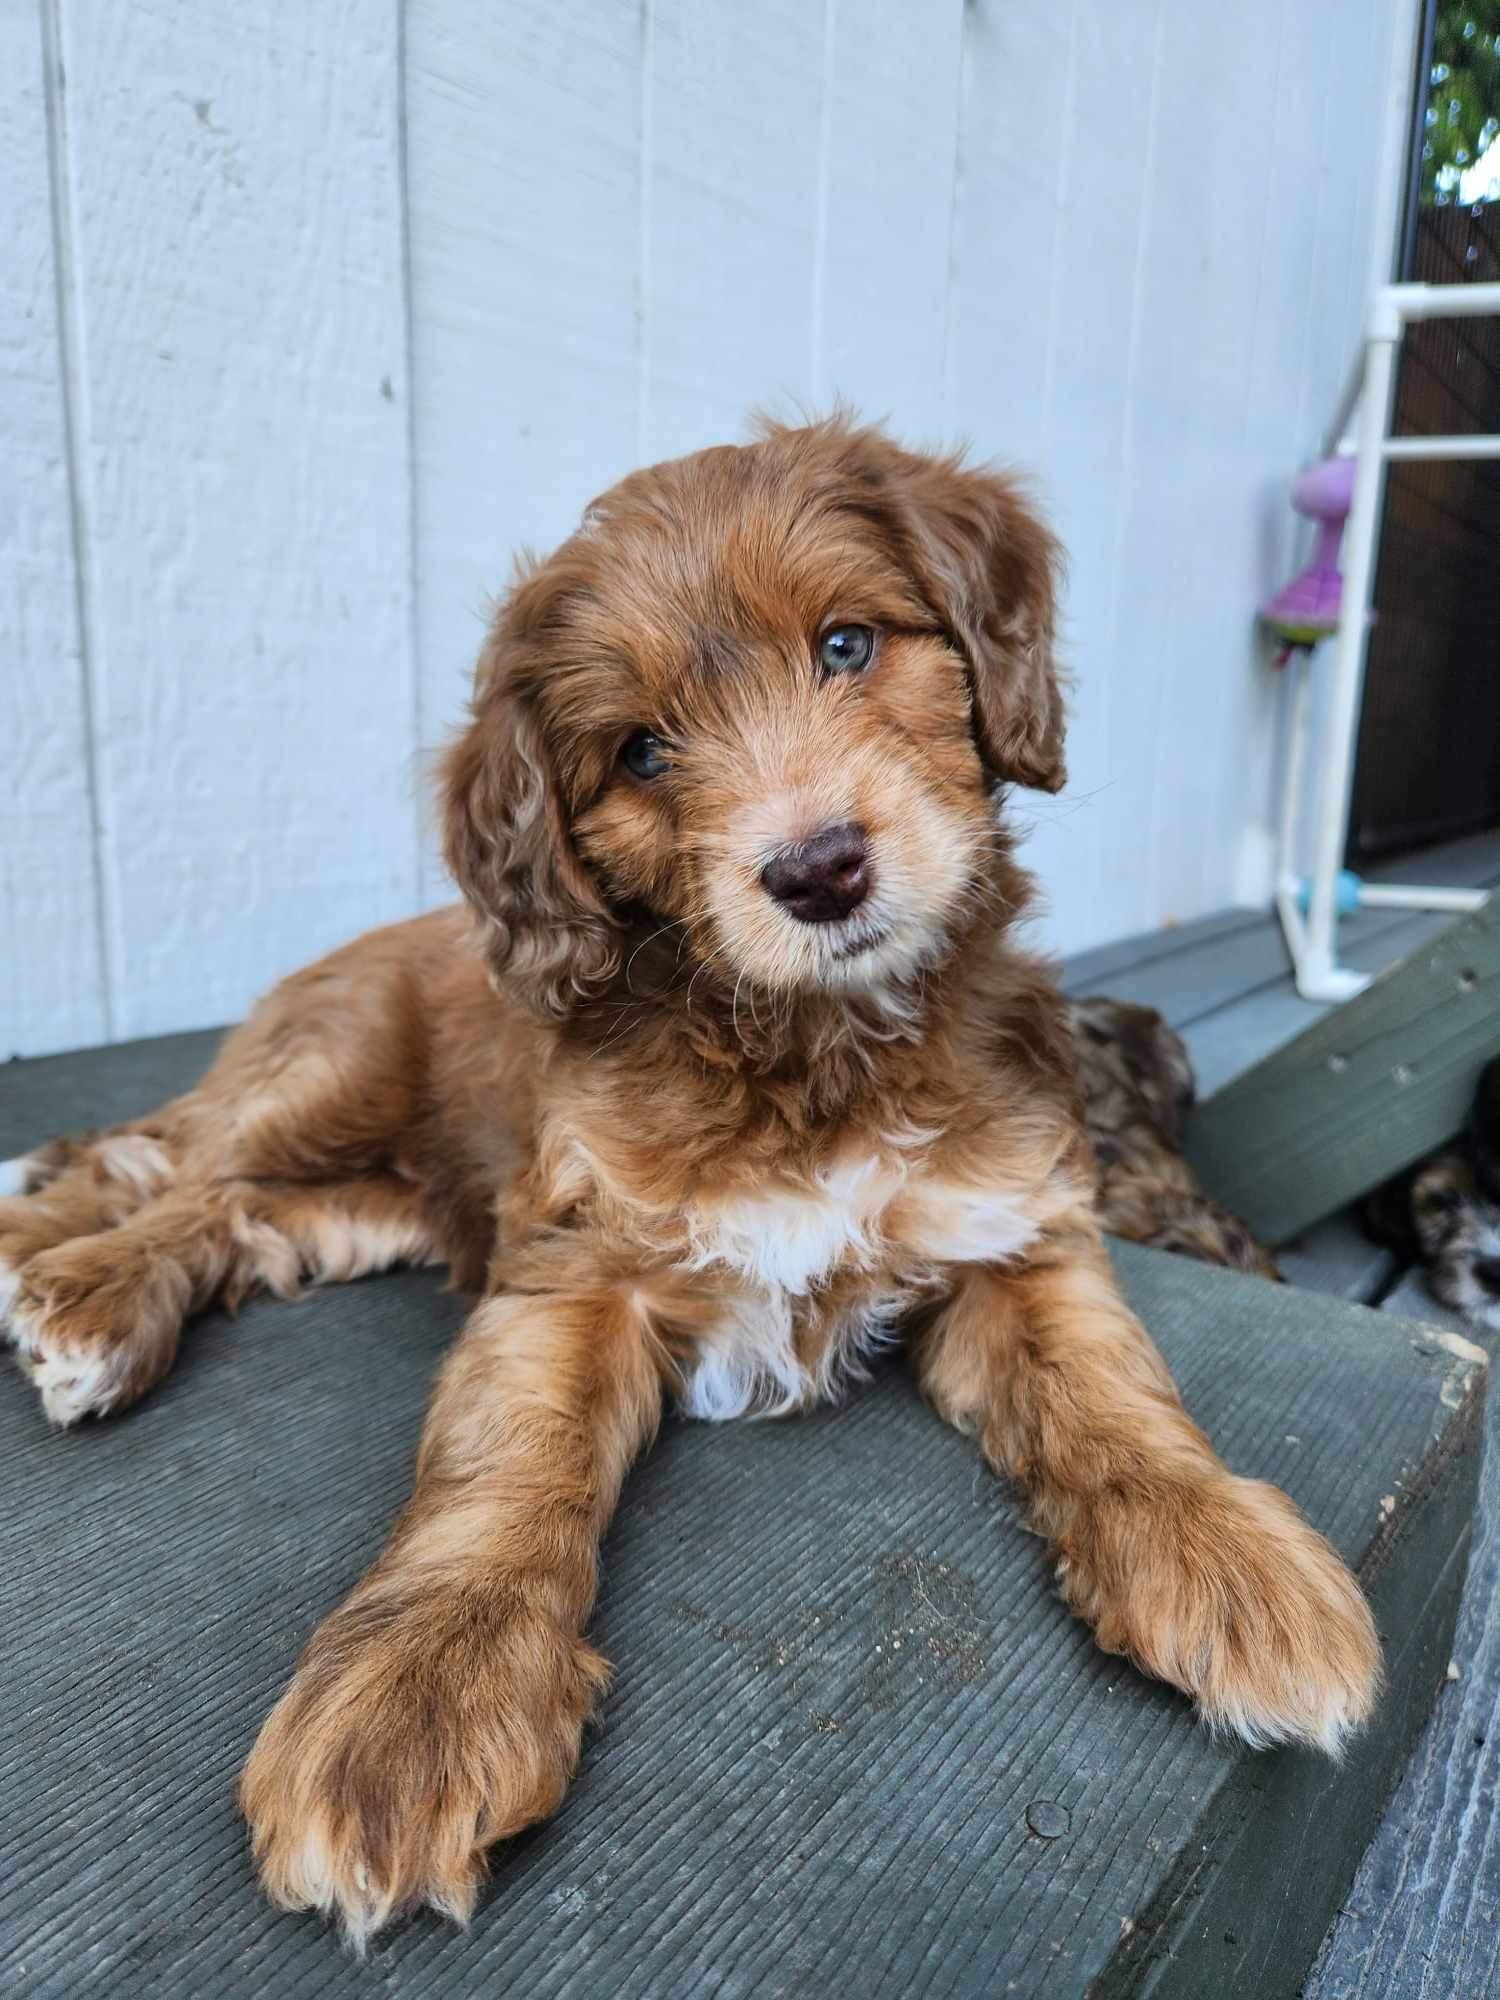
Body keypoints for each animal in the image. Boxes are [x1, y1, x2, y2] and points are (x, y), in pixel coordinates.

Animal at [0, 418, 1384, 1936]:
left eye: (847, 644)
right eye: (644, 750)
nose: (821, 869)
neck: (813, 1050)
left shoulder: (1015, 1232)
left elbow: (1114, 1390)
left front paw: (1223, 1551)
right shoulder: (573, 1265)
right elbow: (507, 1463)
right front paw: (424, 1692)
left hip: (378, 1200)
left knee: (242, 1213)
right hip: (332, 1065)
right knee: (165, 1160)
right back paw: (62, 1267)